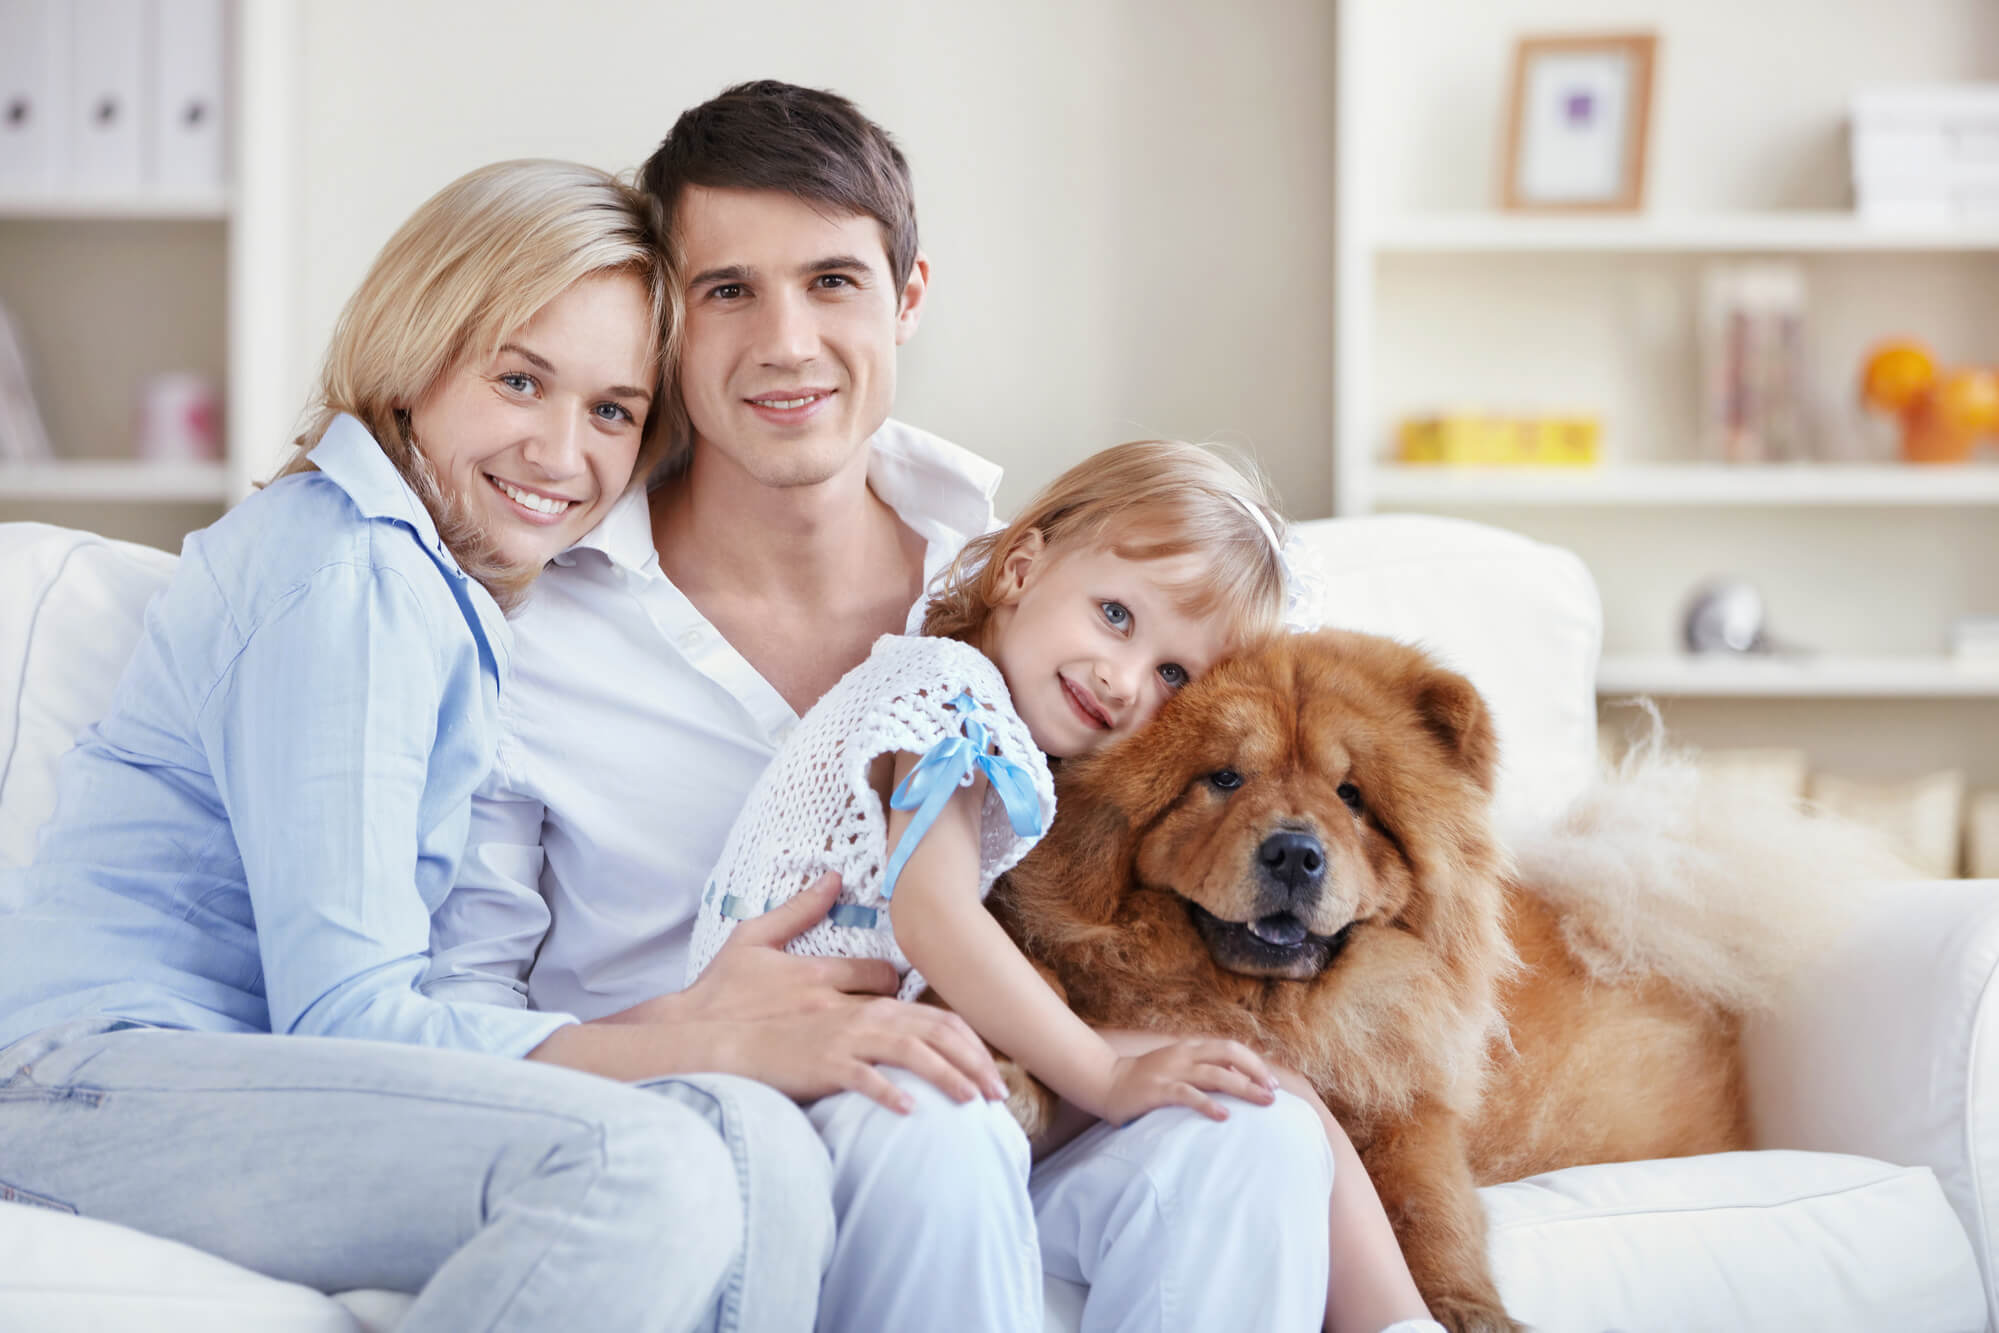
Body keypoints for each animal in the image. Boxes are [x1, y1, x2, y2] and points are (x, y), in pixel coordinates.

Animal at [983, 631, 1767, 1333]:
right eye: (1225, 779)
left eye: (1351, 795)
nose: (1294, 852)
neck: (1272, 1010)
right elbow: (1040, 985)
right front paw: (1009, 1072)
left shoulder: (1406, 1104)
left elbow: (1430, 1211)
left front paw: (1469, 1310)